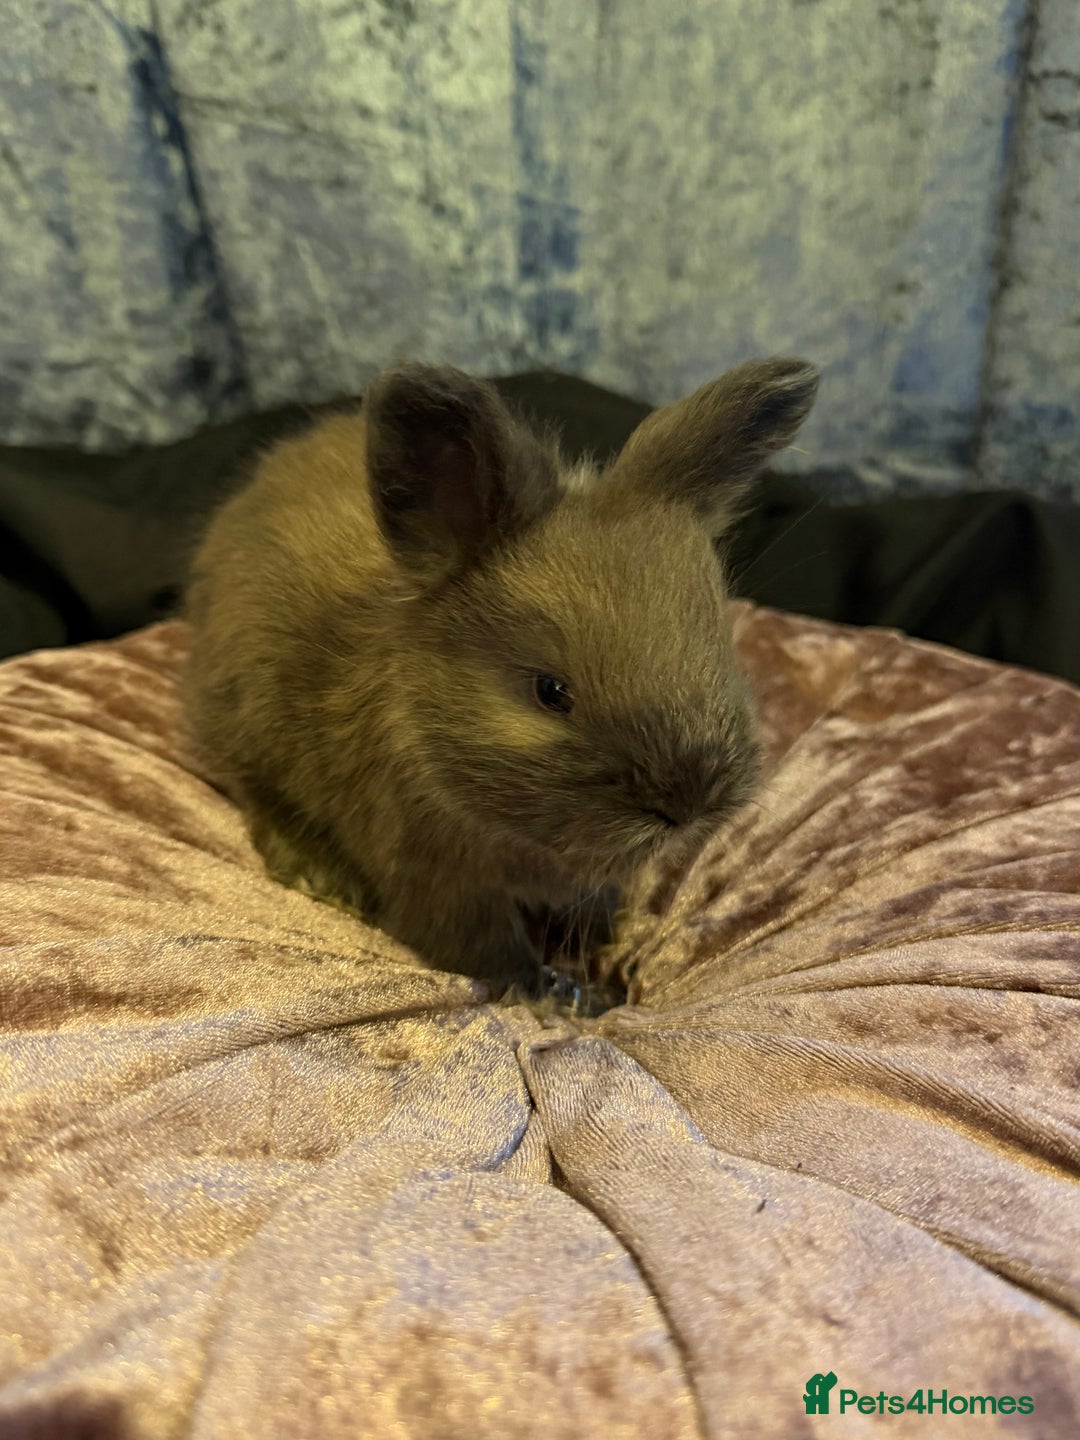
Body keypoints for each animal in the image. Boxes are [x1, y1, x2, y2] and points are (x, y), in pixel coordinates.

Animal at [183, 355, 819, 999]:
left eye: (719, 645)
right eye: (551, 691)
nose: (687, 803)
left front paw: (601, 942)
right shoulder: (436, 882)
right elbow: (486, 951)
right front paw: (548, 994)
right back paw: (319, 876)